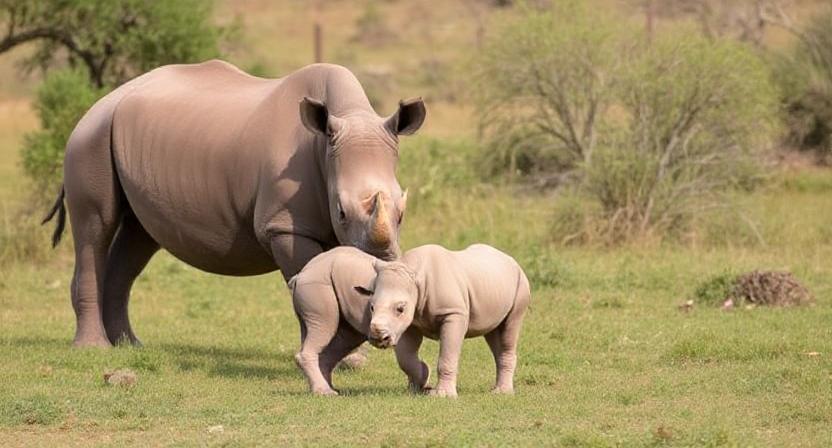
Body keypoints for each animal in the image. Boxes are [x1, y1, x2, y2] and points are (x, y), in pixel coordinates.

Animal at [42, 60, 426, 347]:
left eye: (403, 213)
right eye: (341, 212)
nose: (382, 263)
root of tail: (101, 103)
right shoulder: (283, 226)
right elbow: (310, 282)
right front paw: (344, 357)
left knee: (139, 236)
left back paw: (129, 346)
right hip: (89, 139)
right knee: (95, 227)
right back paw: (94, 349)